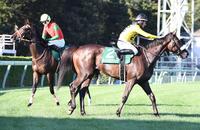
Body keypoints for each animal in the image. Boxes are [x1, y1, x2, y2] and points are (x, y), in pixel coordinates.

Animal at [57, 31, 189, 116]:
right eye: (178, 41)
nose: (186, 53)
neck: (146, 57)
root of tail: (78, 49)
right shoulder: (131, 80)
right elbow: (125, 96)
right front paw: (118, 112)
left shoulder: (143, 82)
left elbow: (152, 96)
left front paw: (156, 113)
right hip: (83, 74)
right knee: (73, 87)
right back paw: (71, 108)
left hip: (89, 75)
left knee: (82, 91)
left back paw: (82, 112)